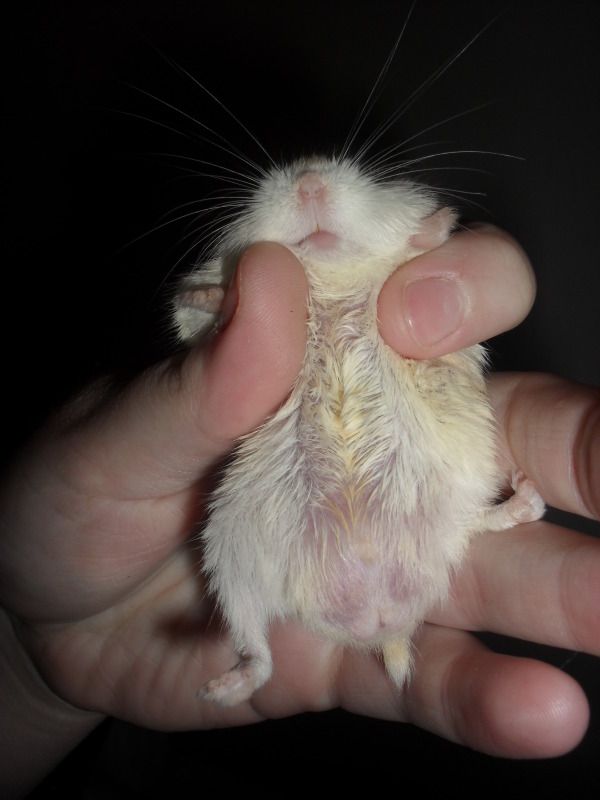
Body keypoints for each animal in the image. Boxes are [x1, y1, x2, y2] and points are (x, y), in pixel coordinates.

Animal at [173, 155, 545, 706]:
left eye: (350, 170)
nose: (309, 183)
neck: (331, 276)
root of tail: (378, 619)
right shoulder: (195, 327)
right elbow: (199, 314)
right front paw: (209, 291)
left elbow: (412, 250)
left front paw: (438, 222)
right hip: (231, 552)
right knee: (257, 649)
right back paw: (217, 690)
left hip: (449, 506)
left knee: (486, 521)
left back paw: (524, 493)